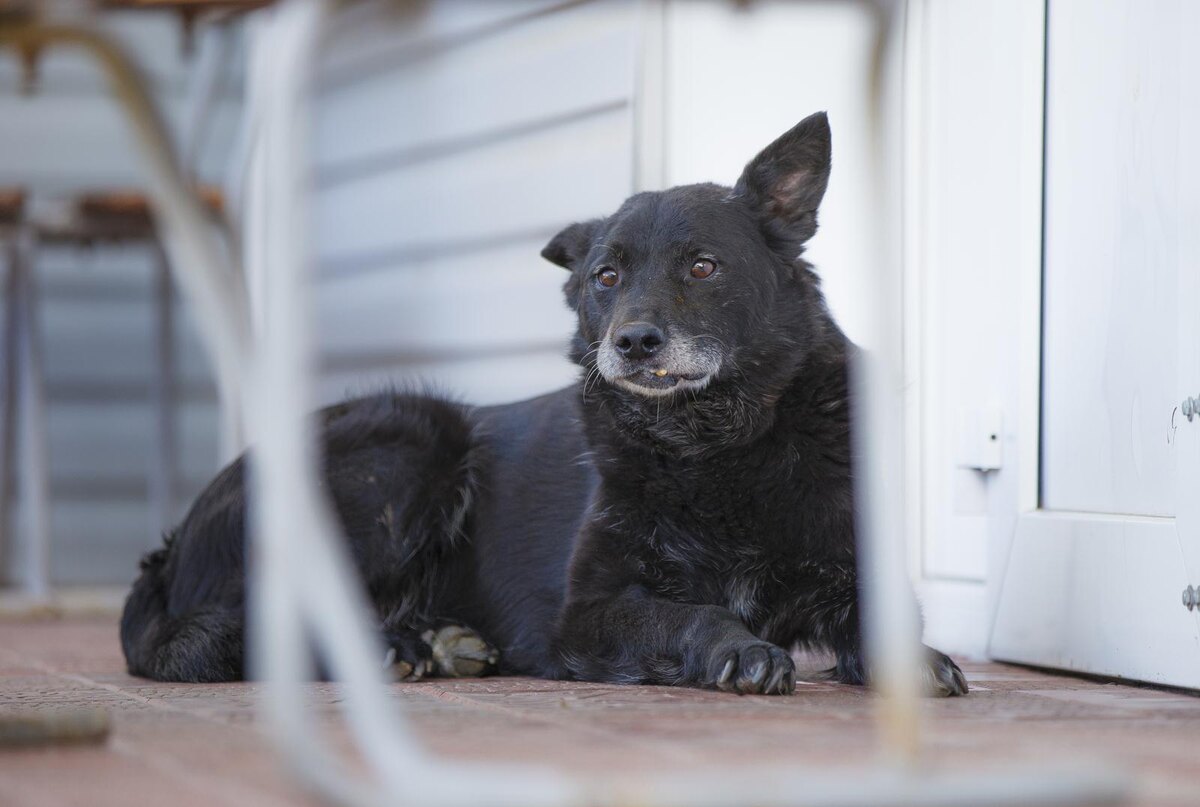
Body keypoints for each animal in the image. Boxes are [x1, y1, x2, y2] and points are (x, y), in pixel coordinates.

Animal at [121, 110, 964, 696]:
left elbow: (881, 620)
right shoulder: (586, 611)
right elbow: (694, 611)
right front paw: (740, 649)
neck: (713, 447)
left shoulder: (851, 570)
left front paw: (916, 659)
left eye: (702, 266)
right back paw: (397, 649)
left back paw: (435, 641)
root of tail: (170, 549)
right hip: (412, 438)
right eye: (605, 276)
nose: (633, 342)